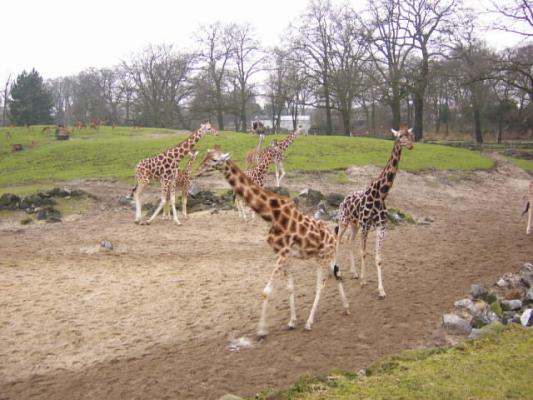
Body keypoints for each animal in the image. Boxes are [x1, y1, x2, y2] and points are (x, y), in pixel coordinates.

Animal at [195, 145, 350, 340]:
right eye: (206, 155)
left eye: (215, 160)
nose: (198, 171)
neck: (271, 215)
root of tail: (333, 236)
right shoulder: (284, 254)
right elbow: (290, 287)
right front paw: (291, 322)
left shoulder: (283, 253)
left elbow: (266, 291)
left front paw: (261, 331)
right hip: (325, 256)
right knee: (337, 273)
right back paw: (346, 308)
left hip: (323, 257)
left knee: (321, 285)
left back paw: (309, 322)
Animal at [334, 126, 414, 298]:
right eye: (400, 136)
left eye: (411, 135)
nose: (411, 145)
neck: (381, 193)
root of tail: (343, 200)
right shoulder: (366, 225)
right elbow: (363, 252)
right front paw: (364, 281)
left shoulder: (380, 226)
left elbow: (378, 257)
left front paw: (381, 290)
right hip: (344, 221)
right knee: (337, 240)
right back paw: (338, 271)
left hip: (354, 224)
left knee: (349, 240)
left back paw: (354, 272)